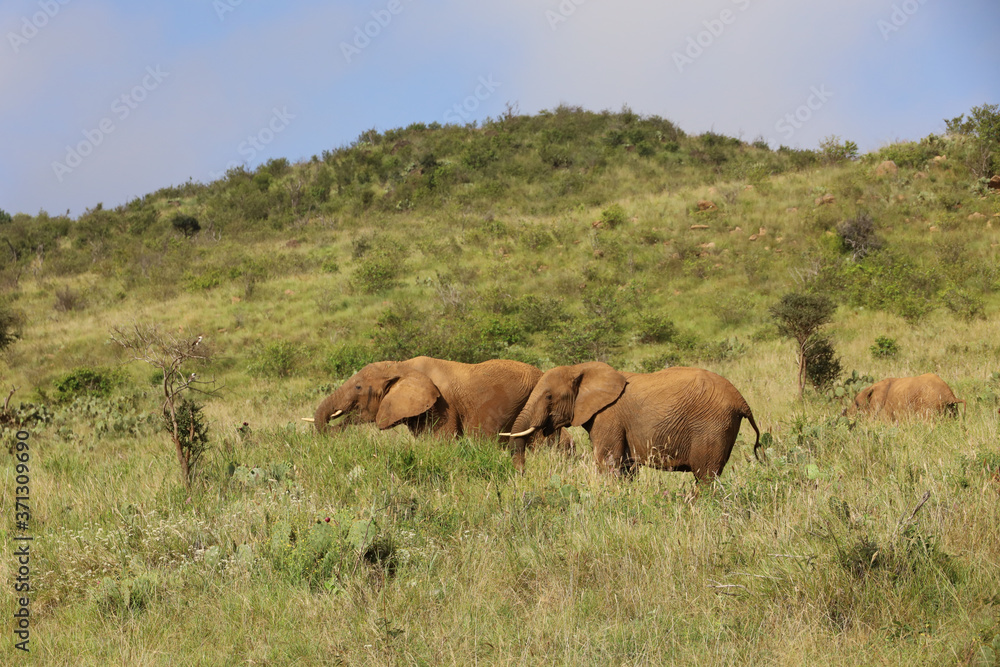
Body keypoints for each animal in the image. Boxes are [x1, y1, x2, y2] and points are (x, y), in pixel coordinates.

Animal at [502, 362, 762, 481]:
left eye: (548, 397)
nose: (522, 475)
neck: (580, 368)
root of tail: (742, 401)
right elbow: (626, 469)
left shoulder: (608, 418)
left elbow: (607, 463)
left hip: (712, 426)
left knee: (706, 477)